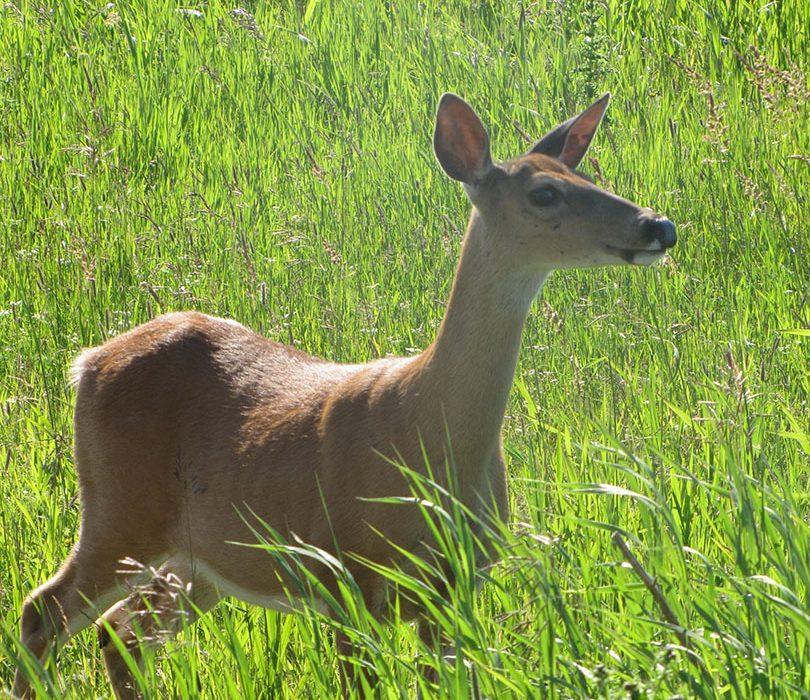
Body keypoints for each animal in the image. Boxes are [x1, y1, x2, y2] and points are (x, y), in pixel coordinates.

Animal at [13, 91, 676, 698]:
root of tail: (87, 362)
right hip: (121, 508)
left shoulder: (455, 588)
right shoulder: (346, 576)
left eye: (587, 177)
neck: (431, 434)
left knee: (118, 635)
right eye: (544, 193)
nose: (658, 226)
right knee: (42, 612)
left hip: (198, 560)